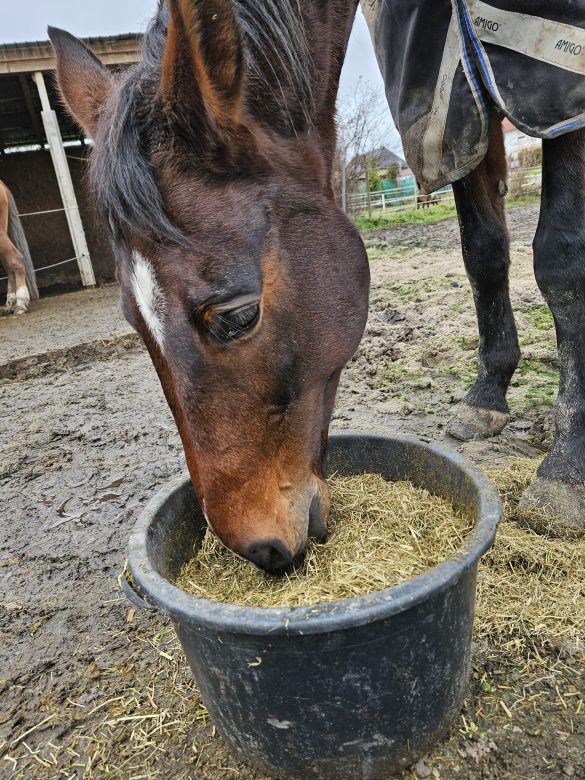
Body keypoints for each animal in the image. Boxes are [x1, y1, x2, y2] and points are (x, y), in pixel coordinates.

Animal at [49, 0, 584, 572]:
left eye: (238, 317)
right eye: (134, 324)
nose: (261, 551)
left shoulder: (556, 97)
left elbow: (562, 260)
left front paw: (565, 473)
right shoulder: (463, 105)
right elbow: (483, 252)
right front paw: (487, 395)